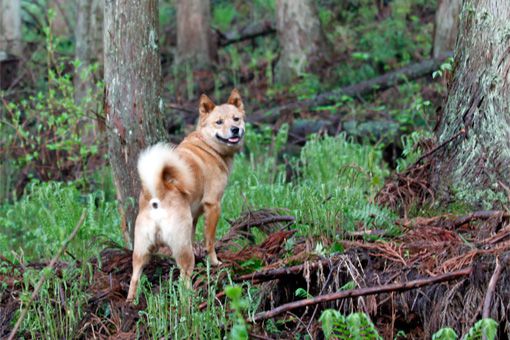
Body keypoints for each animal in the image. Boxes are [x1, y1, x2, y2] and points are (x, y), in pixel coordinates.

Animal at [128, 89, 246, 302]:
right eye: (219, 122)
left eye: (236, 118)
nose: (235, 129)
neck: (208, 146)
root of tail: (158, 194)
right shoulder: (213, 205)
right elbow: (210, 241)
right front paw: (214, 262)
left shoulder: (193, 218)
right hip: (182, 250)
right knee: (184, 279)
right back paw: (190, 299)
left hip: (141, 251)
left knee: (134, 278)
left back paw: (130, 302)